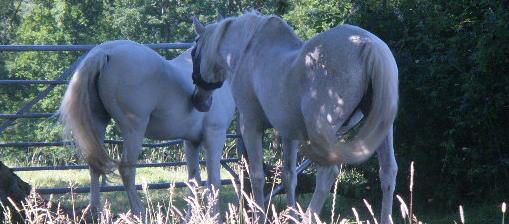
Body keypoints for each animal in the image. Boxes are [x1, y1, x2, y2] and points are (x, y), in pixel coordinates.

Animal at [58, 39, 236, 219]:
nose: (201, 103)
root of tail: (104, 52)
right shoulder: (214, 136)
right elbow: (214, 182)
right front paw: (213, 216)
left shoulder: (192, 141)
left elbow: (194, 180)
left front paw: (192, 216)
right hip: (134, 129)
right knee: (126, 169)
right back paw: (139, 213)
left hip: (97, 124)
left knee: (94, 166)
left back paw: (96, 213)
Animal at [190, 12, 396, 224]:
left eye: (194, 53)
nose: (198, 101)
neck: (248, 50)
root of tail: (369, 44)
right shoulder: (289, 133)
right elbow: (289, 176)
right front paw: (291, 215)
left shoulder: (250, 125)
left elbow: (257, 176)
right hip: (381, 129)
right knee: (388, 172)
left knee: (328, 172)